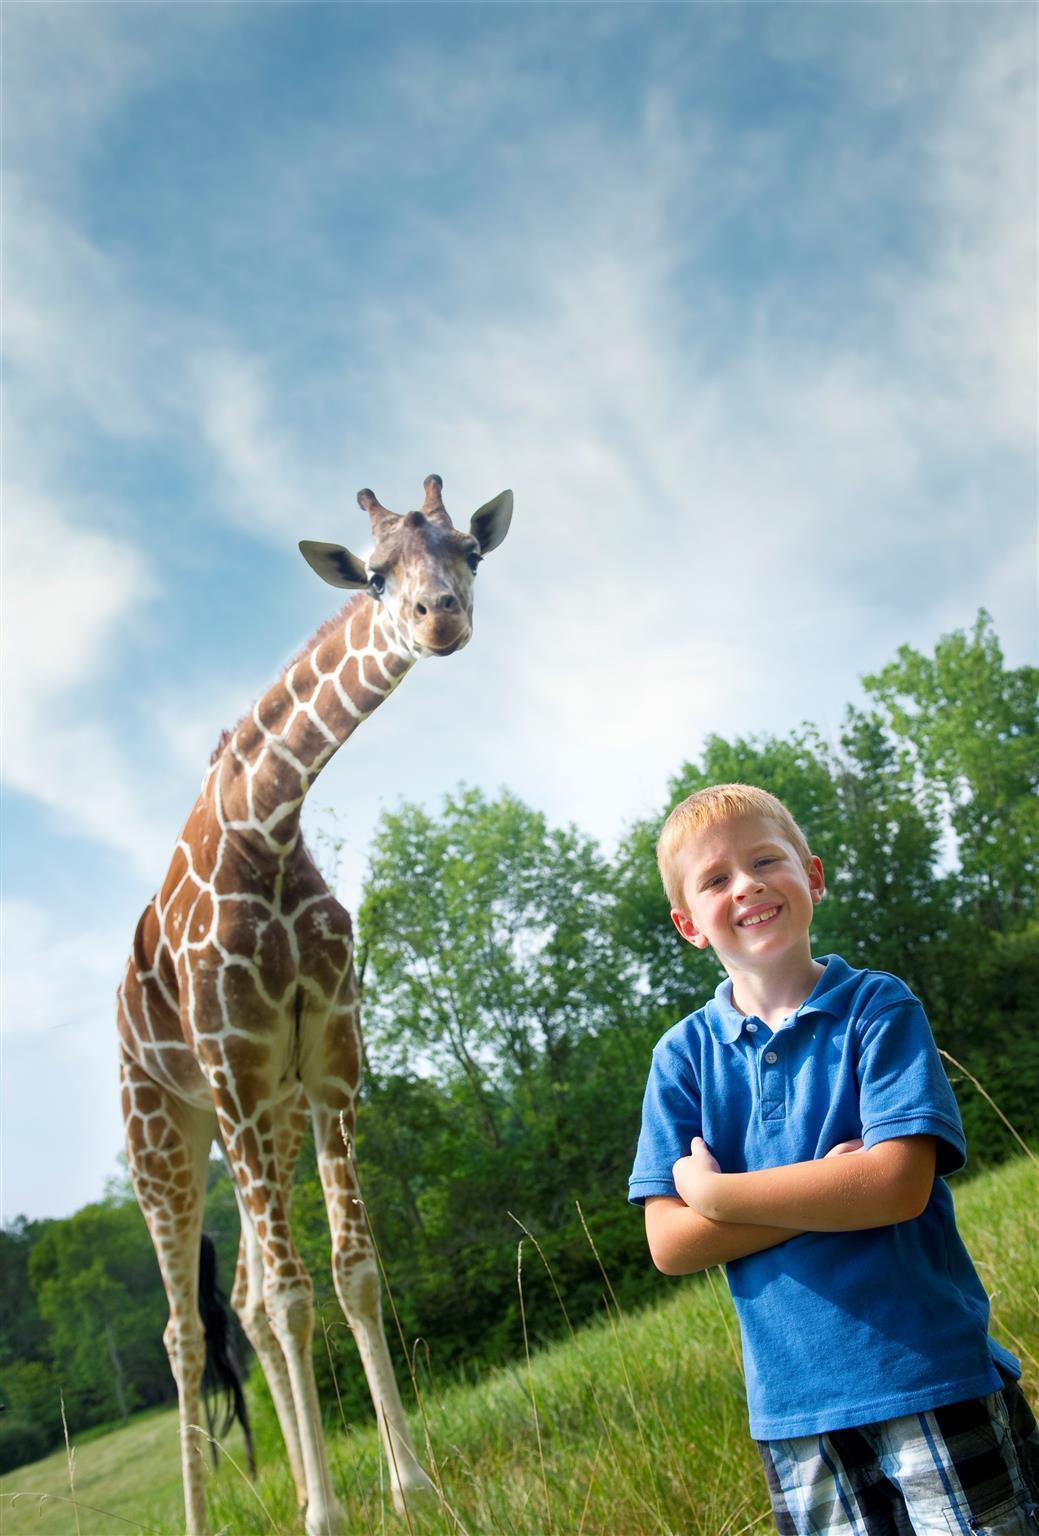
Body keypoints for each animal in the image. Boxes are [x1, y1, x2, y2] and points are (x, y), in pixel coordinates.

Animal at [116, 470, 510, 1536]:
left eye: (469, 551)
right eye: (373, 572)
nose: (440, 618)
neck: (266, 826)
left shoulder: (329, 1065)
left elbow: (350, 1271)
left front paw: (408, 1487)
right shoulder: (236, 1072)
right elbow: (296, 1298)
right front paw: (327, 1517)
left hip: (266, 1116)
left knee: (246, 1300)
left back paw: (295, 1480)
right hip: (167, 1130)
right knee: (182, 1331)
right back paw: (206, 1519)